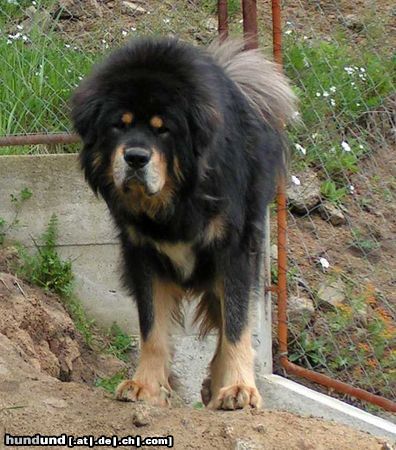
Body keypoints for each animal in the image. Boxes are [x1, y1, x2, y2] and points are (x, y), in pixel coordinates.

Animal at [71, 37, 296, 412]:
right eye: (119, 124)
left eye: (163, 129)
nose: (135, 158)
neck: (175, 203)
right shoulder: (142, 254)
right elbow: (151, 327)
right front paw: (146, 385)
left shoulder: (233, 252)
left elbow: (237, 325)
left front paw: (238, 388)